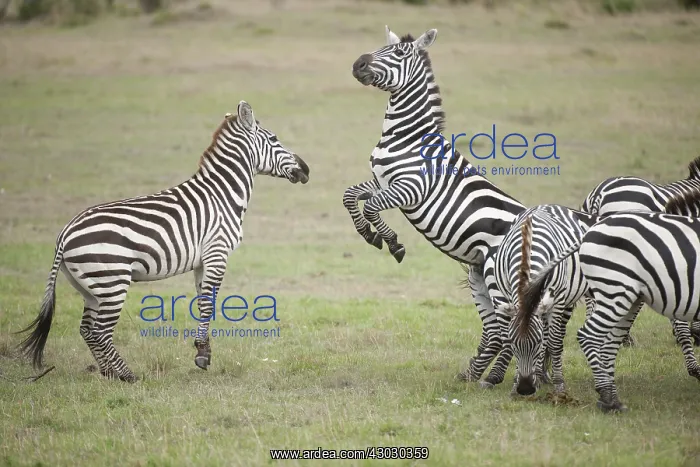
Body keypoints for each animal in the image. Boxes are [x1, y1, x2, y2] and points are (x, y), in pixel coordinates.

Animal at [16, 101, 311, 382]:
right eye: (274, 138)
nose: (306, 169)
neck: (222, 195)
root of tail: (65, 233)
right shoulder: (217, 252)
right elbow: (209, 302)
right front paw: (202, 355)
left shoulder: (202, 261)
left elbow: (203, 301)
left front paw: (203, 350)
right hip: (112, 281)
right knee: (100, 331)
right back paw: (127, 375)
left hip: (90, 287)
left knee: (87, 329)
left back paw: (109, 373)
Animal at [343, 25, 532, 386]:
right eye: (382, 47)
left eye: (399, 53)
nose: (358, 63)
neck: (406, 137)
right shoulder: (382, 182)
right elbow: (350, 196)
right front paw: (369, 235)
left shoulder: (410, 189)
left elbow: (371, 207)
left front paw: (393, 243)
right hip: (478, 273)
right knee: (499, 329)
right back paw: (476, 374)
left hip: (498, 276)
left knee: (512, 327)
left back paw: (496, 379)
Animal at [484, 204, 598, 395]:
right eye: (513, 344)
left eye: (535, 343)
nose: (525, 389)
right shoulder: (509, 296)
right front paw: (515, 384)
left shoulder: (557, 299)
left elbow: (553, 342)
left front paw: (559, 385)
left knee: (554, 337)